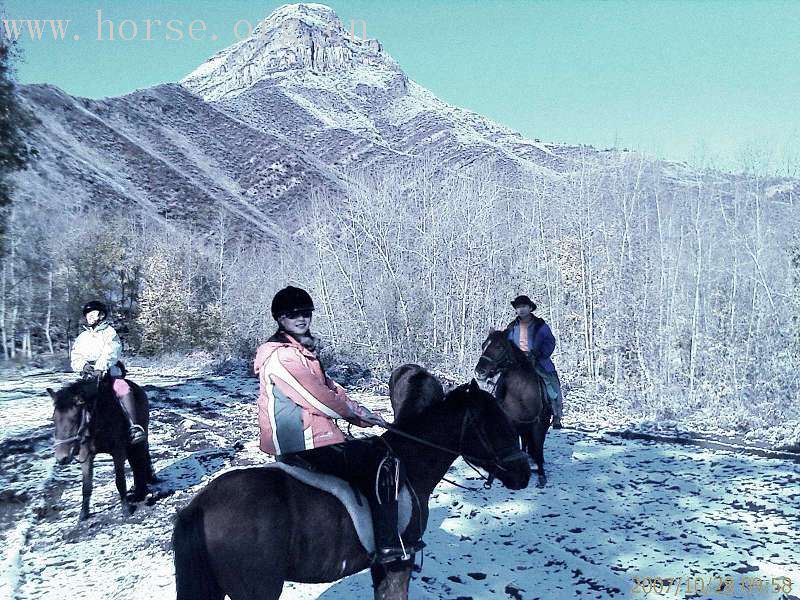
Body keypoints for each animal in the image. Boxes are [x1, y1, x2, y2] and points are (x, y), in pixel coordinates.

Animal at [48, 376, 155, 520]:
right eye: (54, 418)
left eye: (73, 418)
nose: (61, 458)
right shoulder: (86, 455)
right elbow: (86, 486)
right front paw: (83, 514)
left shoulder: (118, 452)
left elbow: (120, 481)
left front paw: (125, 509)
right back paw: (138, 490)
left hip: (141, 439)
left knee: (140, 460)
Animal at [476, 328, 552, 488]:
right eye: (483, 345)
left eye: (499, 347)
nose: (479, 371)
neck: (521, 394)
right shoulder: (510, 424)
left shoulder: (538, 426)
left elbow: (538, 450)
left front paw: (541, 477)